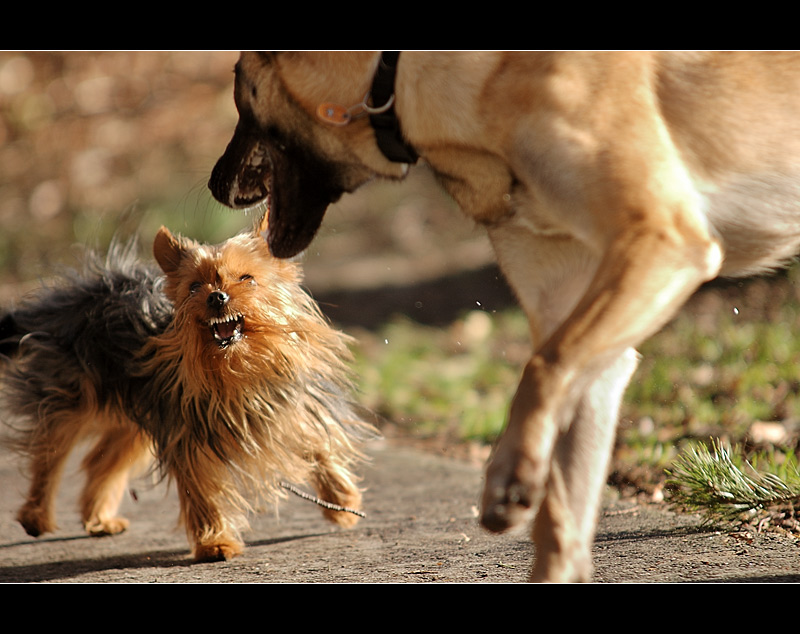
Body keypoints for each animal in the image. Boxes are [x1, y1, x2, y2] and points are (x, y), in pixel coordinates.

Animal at [0, 220, 376, 560]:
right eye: (195, 286)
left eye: (247, 278)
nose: (216, 296)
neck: (238, 371)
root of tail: (65, 298)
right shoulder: (190, 437)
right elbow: (203, 491)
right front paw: (215, 542)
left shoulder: (289, 408)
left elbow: (319, 446)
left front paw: (341, 499)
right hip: (73, 395)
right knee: (50, 452)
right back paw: (36, 515)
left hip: (135, 415)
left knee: (99, 461)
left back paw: (99, 518)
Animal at [209, 51, 800, 580]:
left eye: (239, 94)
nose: (214, 183)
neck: (395, 74)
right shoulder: (583, 319)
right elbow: (563, 509)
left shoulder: (664, 243)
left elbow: (543, 366)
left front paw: (509, 476)